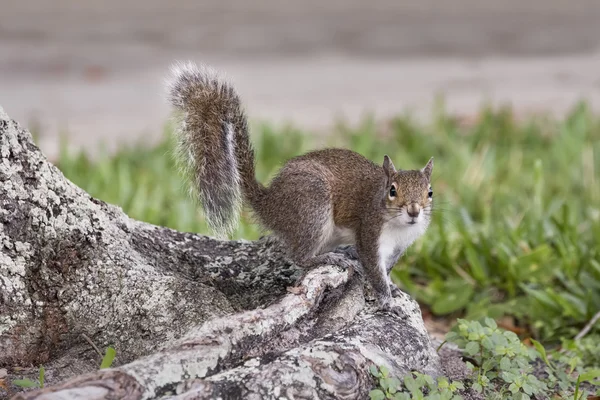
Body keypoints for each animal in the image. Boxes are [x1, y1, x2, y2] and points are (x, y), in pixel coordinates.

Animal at [166, 62, 434, 312]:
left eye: (429, 193)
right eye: (392, 191)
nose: (414, 211)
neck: (399, 227)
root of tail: (270, 203)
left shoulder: (400, 246)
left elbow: (386, 269)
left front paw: (392, 288)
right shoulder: (369, 232)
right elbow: (374, 269)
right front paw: (386, 300)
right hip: (313, 207)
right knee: (299, 257)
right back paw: (328, 258)